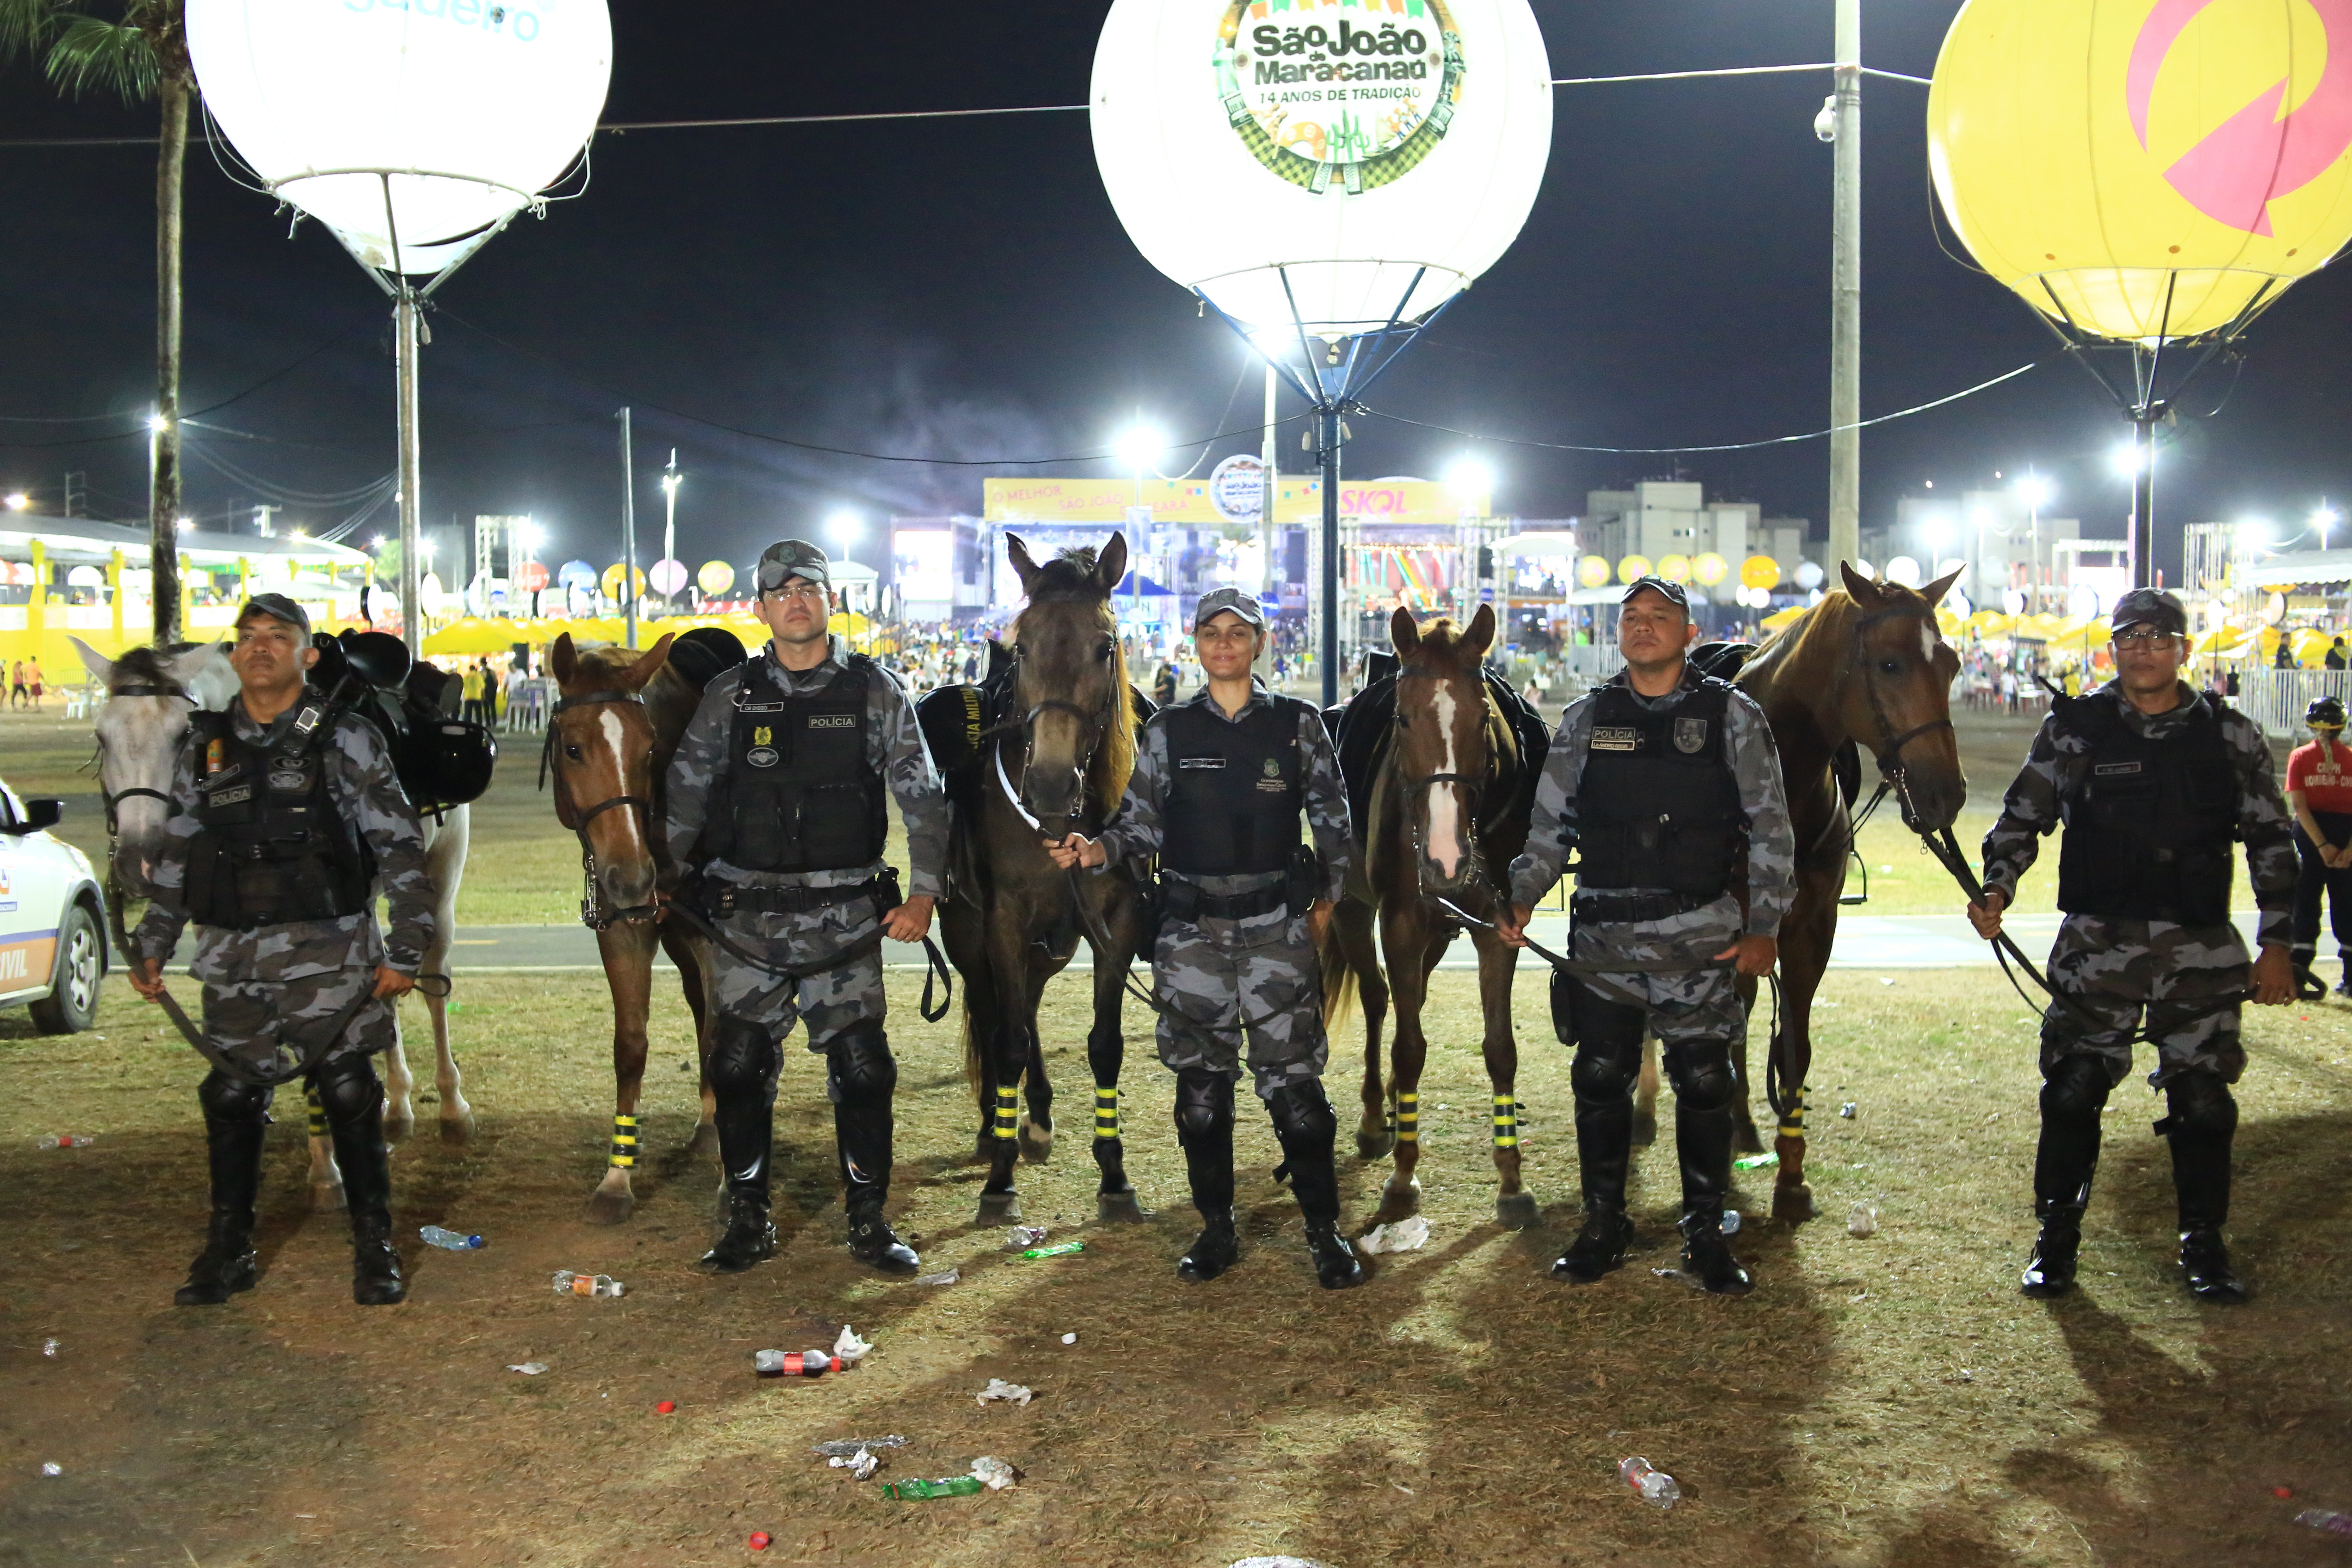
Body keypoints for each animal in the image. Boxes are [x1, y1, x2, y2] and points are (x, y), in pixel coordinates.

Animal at [76, 639, 477, 1213]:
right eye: (101, 736)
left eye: (181, 734)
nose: (140, 862)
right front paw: (322, 1160)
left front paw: (328, 1166)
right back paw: (398, 1105)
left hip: (441, 875)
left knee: (430, 979)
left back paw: (450, 1106)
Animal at [539, 630, 729, 1222]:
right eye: (573, 749)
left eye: (650, 749)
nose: (631, 877)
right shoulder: (625, 930)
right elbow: (631, 1045)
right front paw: (616, 1178)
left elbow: (722, 1037)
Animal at [941, 533, 1152, 1222]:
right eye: (1025, 644)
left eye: (1104, 646)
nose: (1053, 784)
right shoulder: (1004, 920)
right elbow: (1005, 1037)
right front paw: (1000, 1180)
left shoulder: (1117, 922)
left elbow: (1105, 1044)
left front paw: (1114, 1175)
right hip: (968, 933)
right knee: (993, 1009)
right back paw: (996, 1126)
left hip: (1053, 944)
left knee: (1028, 1002)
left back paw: (1033, 1116)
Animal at [1317, 606, 1552, 1232]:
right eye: (1402, 718)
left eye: (1483, 716)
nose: (1446, 860)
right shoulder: (1399, 923)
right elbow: (1407, 1047)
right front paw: (1402, 1179)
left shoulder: (1500, 929)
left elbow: (1500, 1049)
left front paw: (1512, 1181)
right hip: (1355, 912)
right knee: (1379, 999)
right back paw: (1377, 1118)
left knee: (1413, 997)